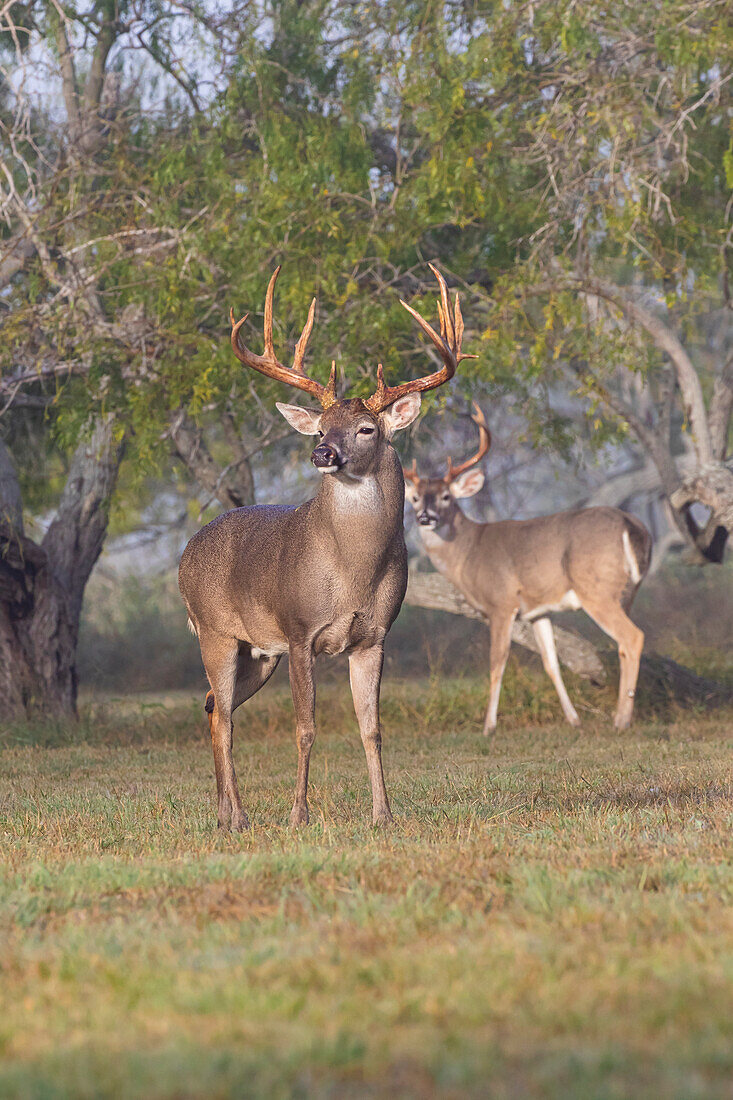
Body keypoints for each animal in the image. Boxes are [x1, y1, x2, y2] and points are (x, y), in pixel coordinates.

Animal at [179, 264, 471, 827]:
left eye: (366, 428)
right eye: (319, 427)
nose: (323, 453)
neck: (352, 572)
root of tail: (183, 557)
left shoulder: (374, 637)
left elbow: (372, 729)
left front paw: (383, 814)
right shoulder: (298, 632)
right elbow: (305, 728)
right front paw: (299, 815)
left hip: (256, 652)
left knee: (212, 708)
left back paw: (224, 815)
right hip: (215, 633)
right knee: (224, 717)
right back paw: (239, 817)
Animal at [405, 409, 651, 734]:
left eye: (447, 496)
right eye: (415, 498)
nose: (425, 518)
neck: (469, 552)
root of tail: (631, 525)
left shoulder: (501, 603)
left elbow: (497, 662)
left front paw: (488, 726)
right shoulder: (537, 610)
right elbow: (551, 664)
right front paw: (574, 719)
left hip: (597, 590)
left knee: (633, 637)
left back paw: (622, 720)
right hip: (626, 592)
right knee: (623, 643)